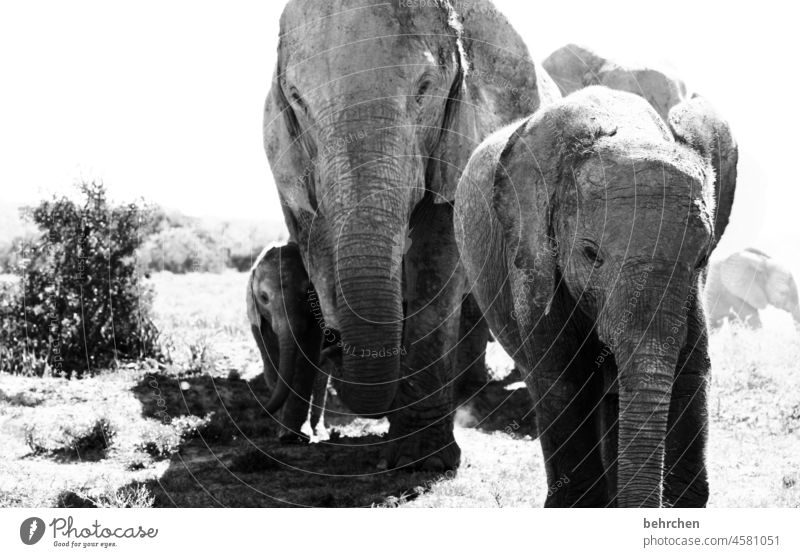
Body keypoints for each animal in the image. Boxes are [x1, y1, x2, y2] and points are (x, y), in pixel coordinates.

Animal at [247, 243, 328, 444]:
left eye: (308, 293)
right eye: (263, 297)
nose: (260, 413)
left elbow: (304, 365)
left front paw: (292, 435)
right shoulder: (257, 319)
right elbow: (272, 365)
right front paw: (284, 432)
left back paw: (319, 432)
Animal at [260, 0, 556, 470]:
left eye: (424, 89)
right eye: (296, 98)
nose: (332, 347)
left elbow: (437, 260)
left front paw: (422, 460)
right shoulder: (288, 161)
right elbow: (314, 246)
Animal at [456, 84, 736, 506]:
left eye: (702, 257)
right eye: (591, 254)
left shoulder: (691, 293)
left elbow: (689, 370)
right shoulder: (533, 258)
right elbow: (563, 381)